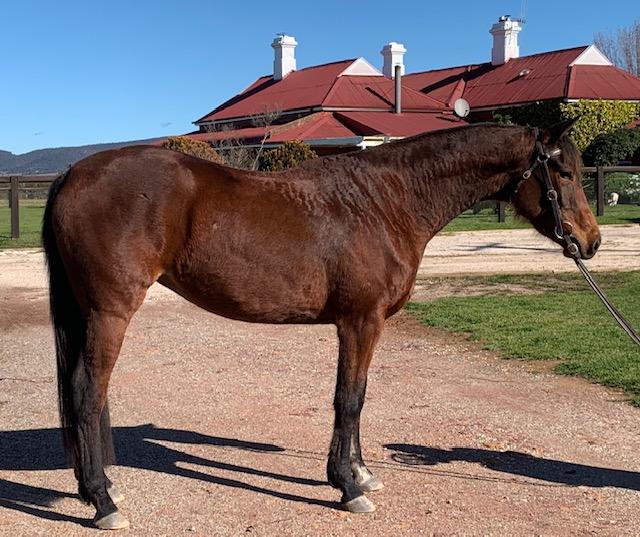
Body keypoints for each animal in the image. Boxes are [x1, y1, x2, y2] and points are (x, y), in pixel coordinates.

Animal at [42, 120, 601, 529]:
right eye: (564, 173)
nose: (590, 242)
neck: (386, 201)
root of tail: (72, 172)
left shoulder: (363, 325)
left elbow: (359, 396)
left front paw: (361, 474)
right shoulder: (359, 321)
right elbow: (347, 399)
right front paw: (348, 488)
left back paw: (100, 487)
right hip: (110, 313)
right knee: (87, 392)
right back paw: (103, 503)